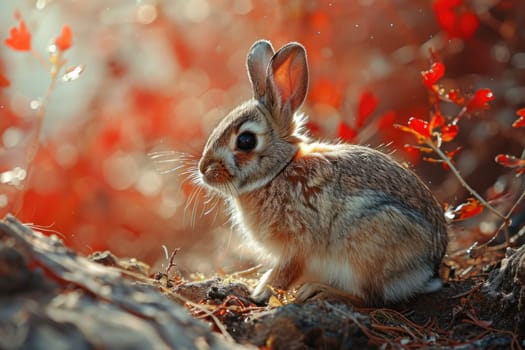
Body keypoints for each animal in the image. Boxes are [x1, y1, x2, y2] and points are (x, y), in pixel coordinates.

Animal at [196, 39, 446, 304]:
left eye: (245, 141)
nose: (204, 170)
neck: (279, 171)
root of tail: (427, 270)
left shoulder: (297, 245)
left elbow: (282, 274)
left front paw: (258, 295)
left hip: (366, 246)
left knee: (369, 297)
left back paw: (320, 291)